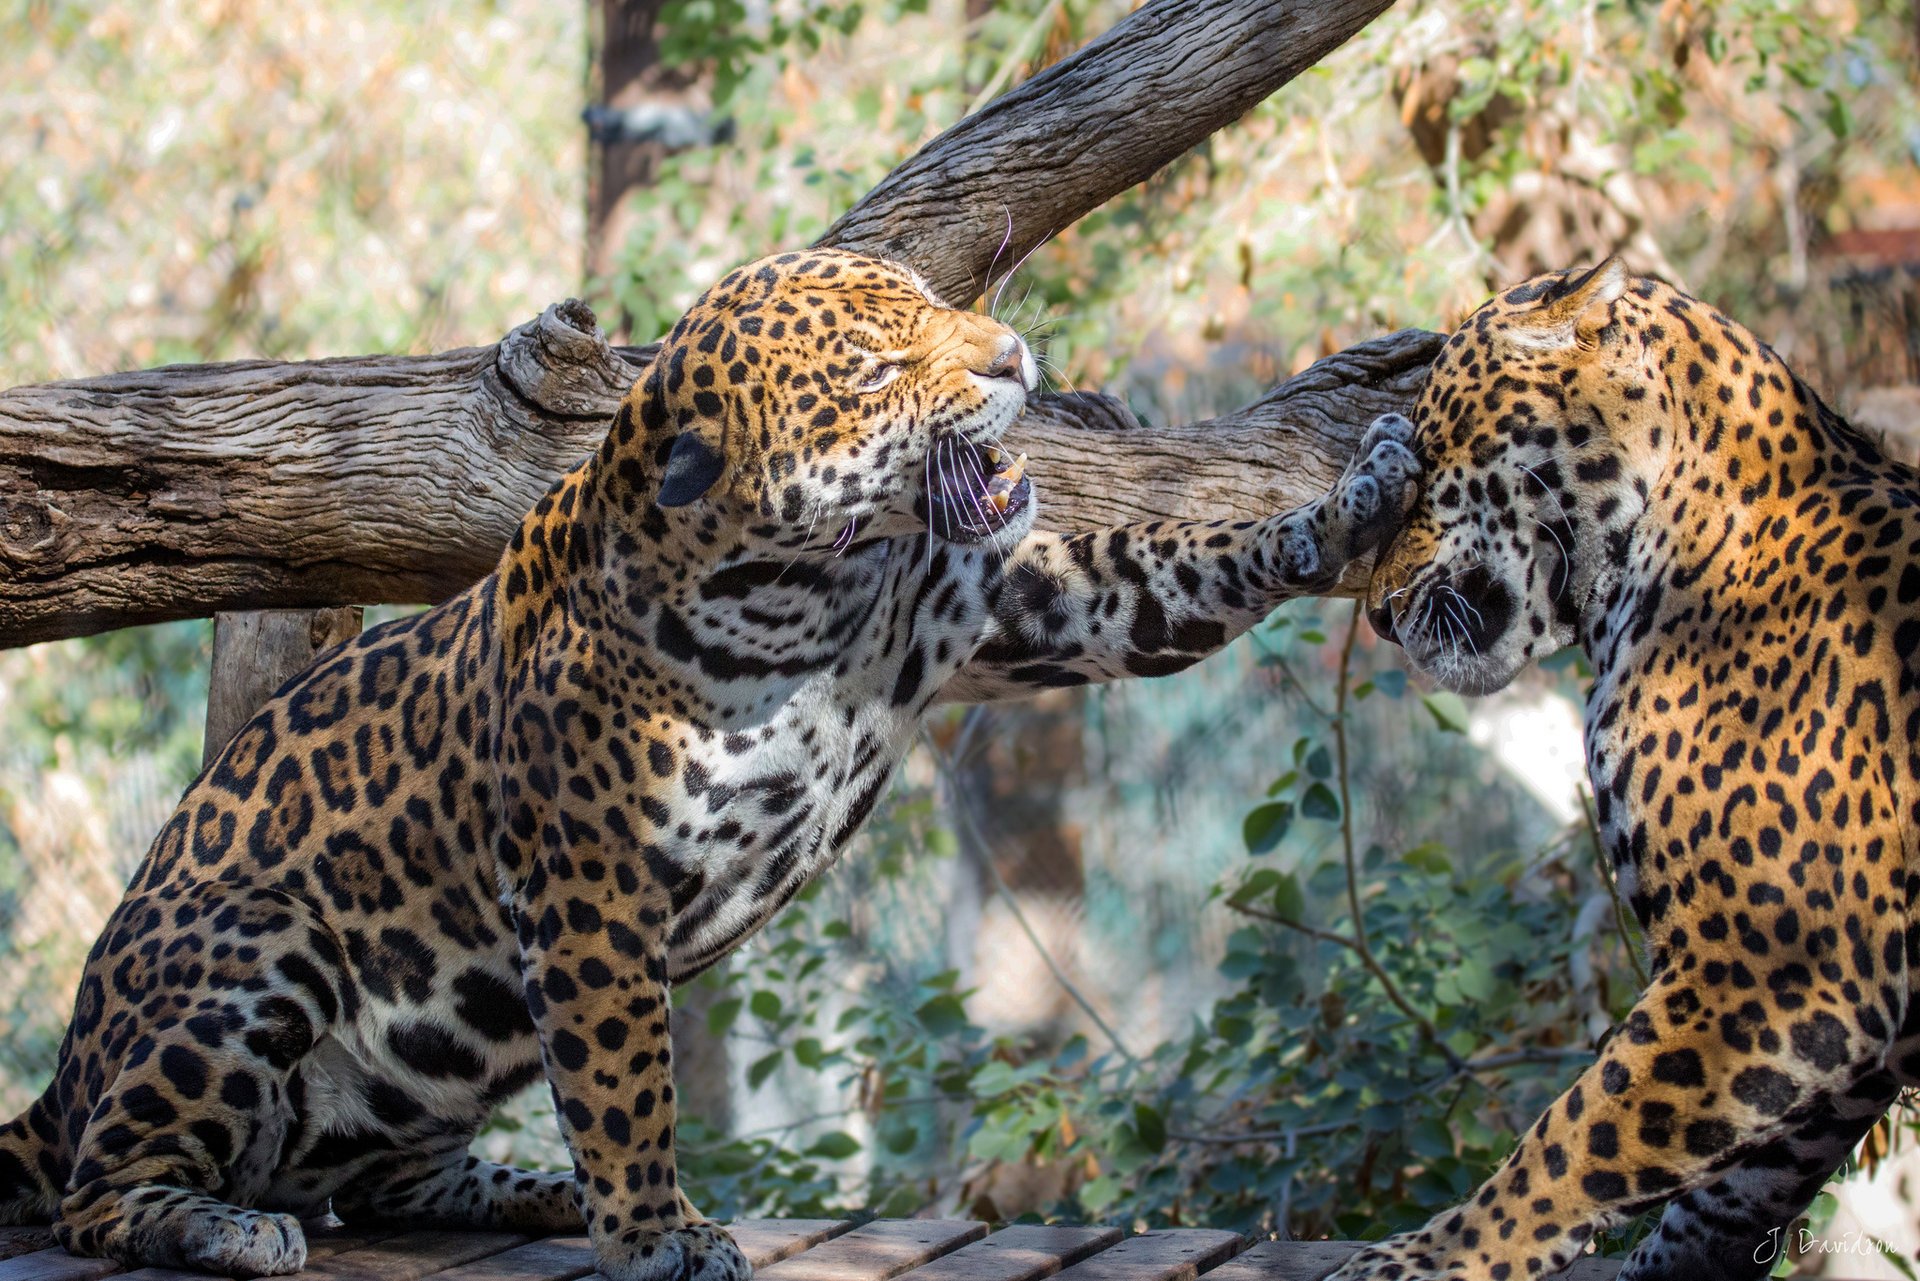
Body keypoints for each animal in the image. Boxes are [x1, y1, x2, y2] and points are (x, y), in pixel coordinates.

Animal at [0, 247, 1420, 1281]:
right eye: (877, 367)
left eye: (933, 303)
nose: (1014, 355)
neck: (806, 592)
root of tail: (63, 1076)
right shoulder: (589, 889)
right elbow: (626, 1077)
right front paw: (653, 1233)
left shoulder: (1025, 606)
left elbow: (1180, 567)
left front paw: (1352, 498)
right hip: (259, 949)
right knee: (100, 1193)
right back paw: (226, 1226)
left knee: (389, 1180)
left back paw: (533, 1190)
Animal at [1347, 257, 1920, 1280]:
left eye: (1432, 455)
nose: (1376, 612)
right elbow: (1732, 1193)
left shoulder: (1775, 962)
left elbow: (1575, 1138)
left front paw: (1433, 1256)